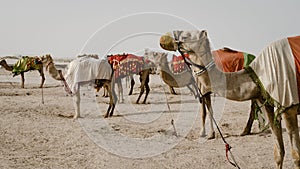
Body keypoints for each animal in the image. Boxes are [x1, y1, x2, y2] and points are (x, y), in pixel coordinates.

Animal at [161, 29, 300, 168]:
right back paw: (245, 131)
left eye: (186, 36)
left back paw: (245, 131)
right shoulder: (267, 103)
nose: (165, 38)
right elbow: (279, 152)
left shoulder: (288, 105)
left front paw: (207, 134)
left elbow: (296, 156)